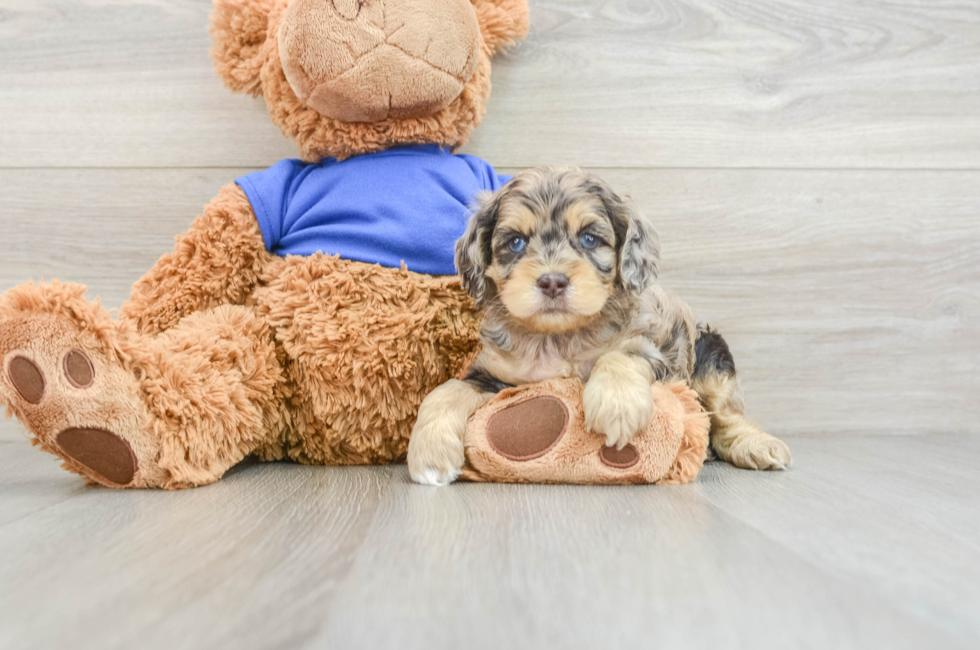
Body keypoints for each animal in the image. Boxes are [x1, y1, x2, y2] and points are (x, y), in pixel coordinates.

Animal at [410, 165, 792, 484]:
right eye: (515, 242)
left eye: (589, 239)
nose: (552, 282)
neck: (558, 337)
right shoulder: (492, 375)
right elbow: (445, 391)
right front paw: (428, 455)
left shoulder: (653, 349)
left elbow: (620, 355)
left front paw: (616, 405)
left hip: (711, 353)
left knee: (726, 415)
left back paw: (758, 445)